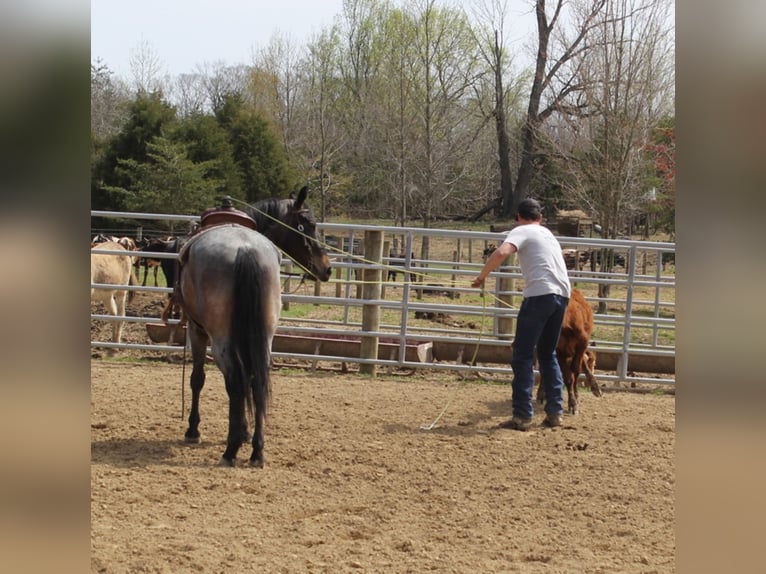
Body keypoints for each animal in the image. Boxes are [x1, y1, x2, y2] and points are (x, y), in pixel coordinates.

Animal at [180, 187, 336, 470]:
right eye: (306, 225)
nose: (327, 268)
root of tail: (245, 249)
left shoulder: (197, 331)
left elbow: (198, 379)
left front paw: (194, 430)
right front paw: (243, 432)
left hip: (219, 339)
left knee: (235, 379)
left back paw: (231, 451)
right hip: (264, 337)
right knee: (258, 381)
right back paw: (256, 451)